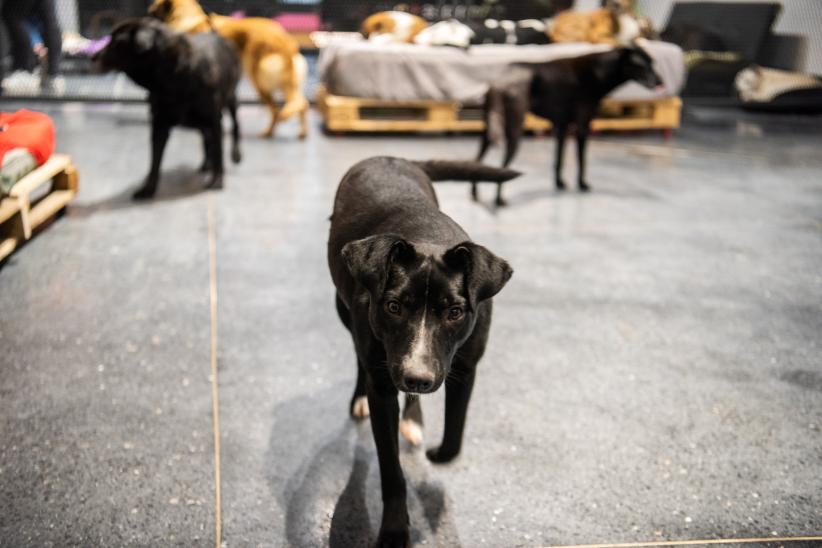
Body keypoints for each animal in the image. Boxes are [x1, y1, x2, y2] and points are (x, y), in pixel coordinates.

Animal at [94, 18, 241, 199]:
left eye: (116, 42)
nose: (92, 57)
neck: (172, 75)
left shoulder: (214, 120)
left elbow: (219, 152)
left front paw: (217, 181)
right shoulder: (159, 125)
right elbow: (154, 162)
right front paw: (148, 189)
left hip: (231, 99)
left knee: (235, 126)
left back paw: (235, 154)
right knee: (206, 139)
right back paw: (206, 164)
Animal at [148, 0, 308, 139]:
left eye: (153, 12)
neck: (187, 19)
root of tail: (285, 42)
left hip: (260, 82)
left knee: (278, 111)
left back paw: (268, 133)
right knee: (301, 104)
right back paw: (300, 133)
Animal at [326, 156, 516, 544]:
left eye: (455, 312)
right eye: (394, 306)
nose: (417, 377)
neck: (427, 236)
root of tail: (395, 157)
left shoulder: (466, 367)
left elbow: (455, 435)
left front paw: (438, 453)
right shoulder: (384, 386)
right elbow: (391, 470)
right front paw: (395, 530)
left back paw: (413, 419)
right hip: (343, 309)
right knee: (357, 356)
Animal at [476, 46, 664, 204]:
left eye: (652, 62)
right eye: (641, 64)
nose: (660, 82)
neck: (597, 70)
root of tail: (500, 79)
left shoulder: (562, 127)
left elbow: (558, 159)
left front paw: (559, 183)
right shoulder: (582, 126)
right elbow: (582, 160)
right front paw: (582, 184)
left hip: (488, 132)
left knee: (478, 159)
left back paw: (475, 193)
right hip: (514, 130)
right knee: (502, 166)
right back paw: (499, 200)